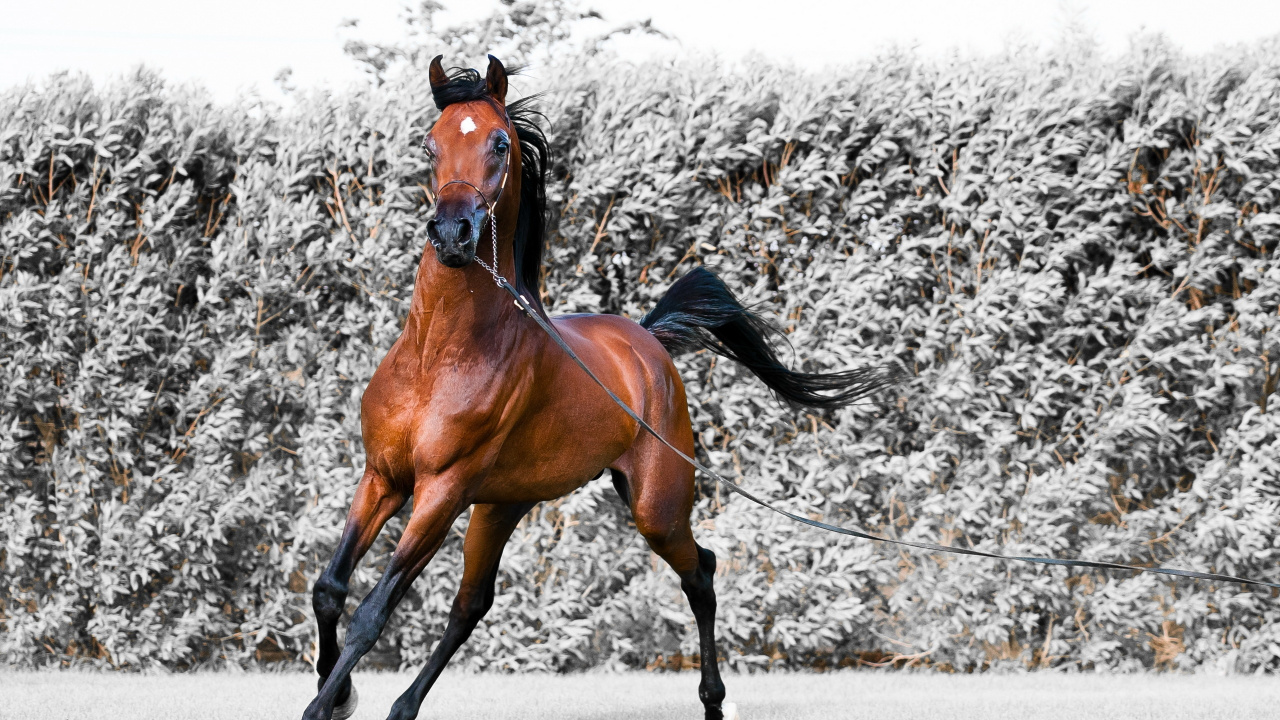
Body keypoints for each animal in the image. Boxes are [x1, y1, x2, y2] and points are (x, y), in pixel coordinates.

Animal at [302, 55, 892, 720]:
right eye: (430, 143)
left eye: (499, 142)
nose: (453, 235)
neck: (438, 356)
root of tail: (648, 341)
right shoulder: (383, 476)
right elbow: (330, 589)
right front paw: (339, 693)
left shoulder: (439, 491)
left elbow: (372, 613)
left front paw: (323, 705)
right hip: (502, 505)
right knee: (472, 604)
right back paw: (403, 708)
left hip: (654, 507)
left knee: (701, 572)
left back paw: (714, 700)